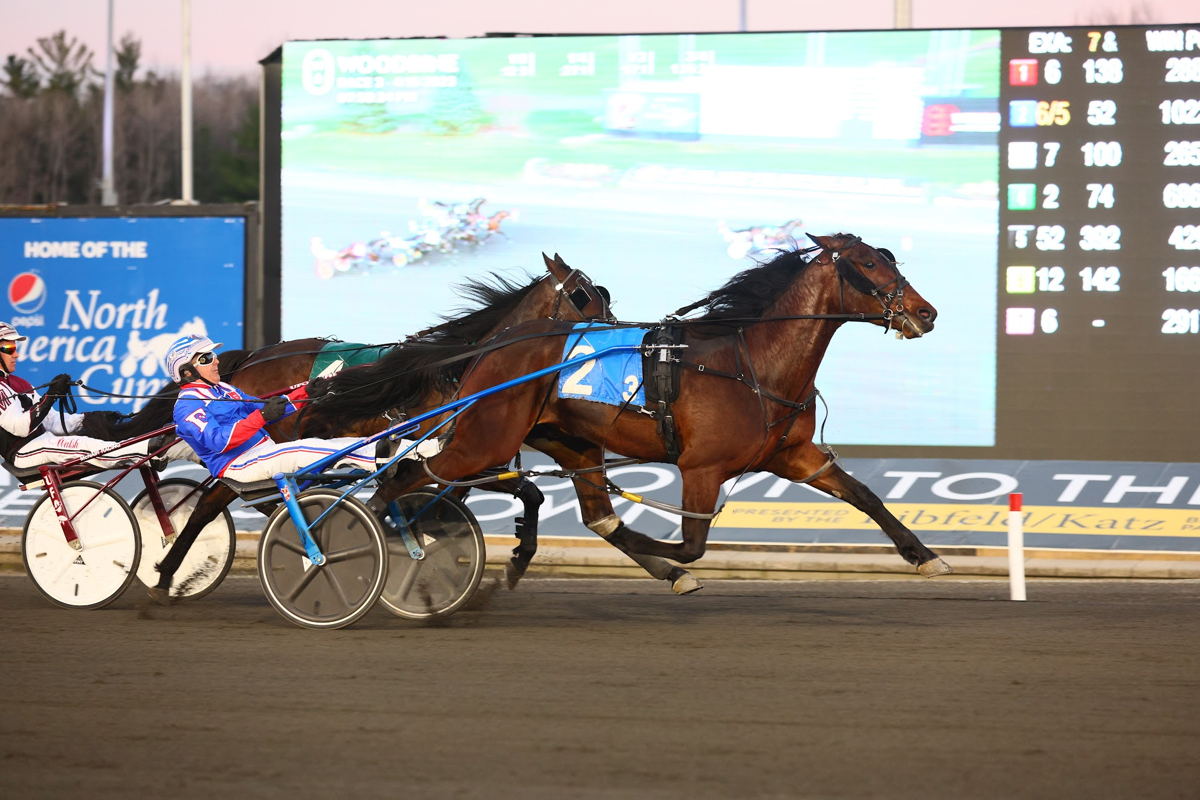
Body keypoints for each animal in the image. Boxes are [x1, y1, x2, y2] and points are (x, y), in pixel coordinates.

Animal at [82, 256, 700, 594]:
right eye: (583, 297)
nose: (621, 336)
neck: (460, 367)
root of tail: (250, 359)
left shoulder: (463, 458)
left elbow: (520, 494)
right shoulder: (451, 456)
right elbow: (478, 498)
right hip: (255, 447)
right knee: (211, 499)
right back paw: (166, 571)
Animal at [338, 231, 955, 575]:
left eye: (890, 258)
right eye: (870, 265)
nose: (925, 313)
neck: (752, 362)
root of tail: (497, 344)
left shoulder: (795, 456)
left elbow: (866, 496)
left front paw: (926, 557)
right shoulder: (702, 467)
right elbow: (690, 546)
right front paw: (667, 561)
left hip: (564, 442)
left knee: (581, 510)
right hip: (482, 440)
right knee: (403, 479)